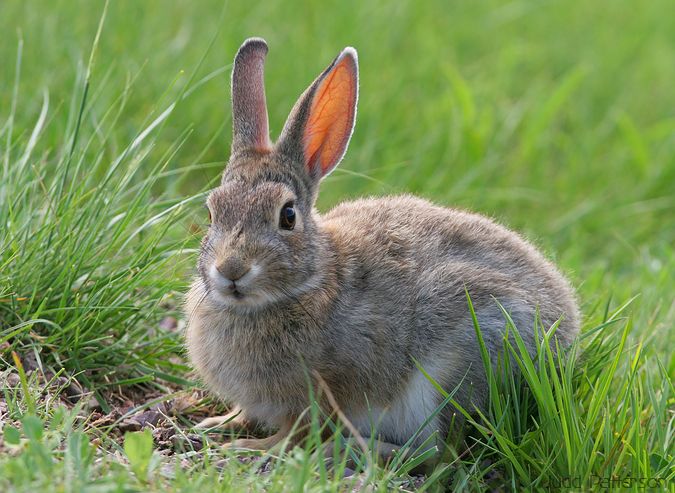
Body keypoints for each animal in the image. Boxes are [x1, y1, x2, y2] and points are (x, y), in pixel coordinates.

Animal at [185, 37, 580, 458]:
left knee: (438, 454)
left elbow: (298, 429)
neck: (309, 283)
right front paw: (218, 423)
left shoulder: (325, 389)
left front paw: (251, 445)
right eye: (211, 212)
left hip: (462, 358)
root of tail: (567, 347)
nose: (231, 270)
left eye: (288, 216)